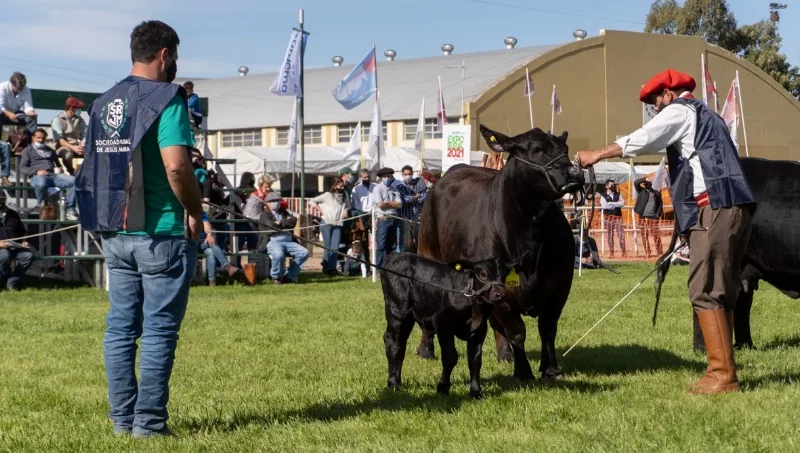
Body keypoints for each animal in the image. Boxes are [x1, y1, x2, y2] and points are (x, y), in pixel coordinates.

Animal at [382, 253, 507, 399]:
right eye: (482, 274)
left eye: (504, 275)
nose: (500, 294)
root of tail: (396, 256)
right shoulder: (443, 325)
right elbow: (450, 356)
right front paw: (443, 387)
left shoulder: (479, 331)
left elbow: (475, 360)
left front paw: (476, 392)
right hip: (397, 311)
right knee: (393, 342)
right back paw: (393, 383)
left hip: (408, 318)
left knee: (401, 344)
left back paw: (398, 381)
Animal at [416, 124, 584, 381]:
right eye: (536, 149)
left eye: (564, 149)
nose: (574, 173)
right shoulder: (498, 286)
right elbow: (517, 331)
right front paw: (524, 372)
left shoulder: (560, 285)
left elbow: (547, 329)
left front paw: (550, 368)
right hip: (428, 251)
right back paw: (426, 349)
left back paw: (505, 354)